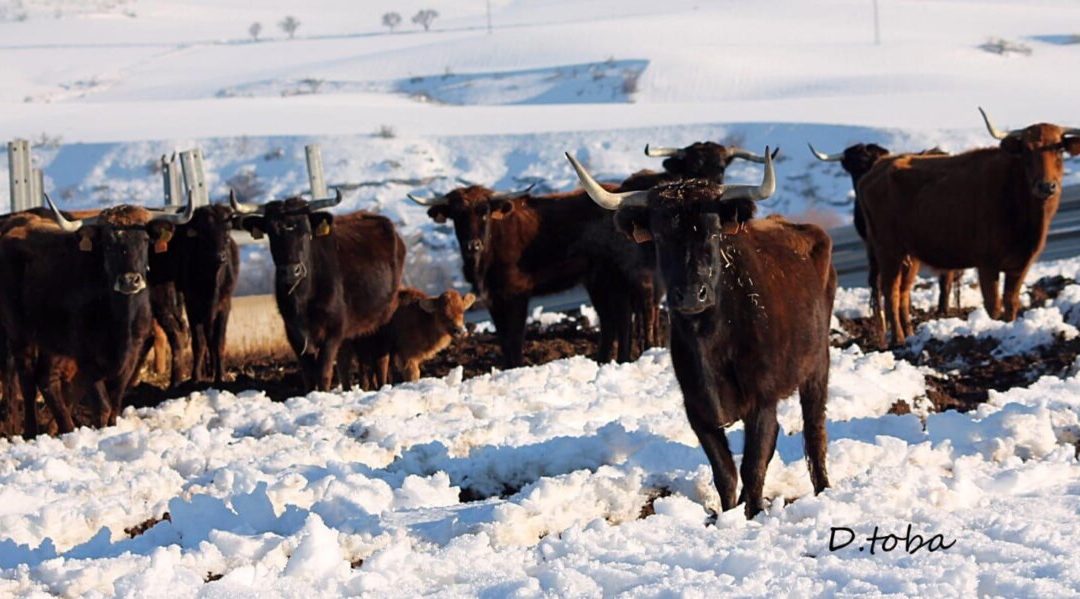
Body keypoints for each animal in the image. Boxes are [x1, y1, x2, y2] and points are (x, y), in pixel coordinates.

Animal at [235, 192, 406, 388]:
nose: (291, 271)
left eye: (306, 231)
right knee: (350, 362)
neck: (302, 298)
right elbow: (309, 374)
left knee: (380, 360)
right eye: (271, 233)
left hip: (383, 319)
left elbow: (323, 372)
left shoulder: (332, 331)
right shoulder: (294, 334)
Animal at [412, 185, 648, 366]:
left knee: (623, 318)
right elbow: (504, 339)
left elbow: (515, 339)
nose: (473, 245)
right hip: (596, 281)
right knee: (609, 321)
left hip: (615, 277)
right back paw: (601, 362)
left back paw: (622, 360)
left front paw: (516, 366)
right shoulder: (494, 299)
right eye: (457, 216)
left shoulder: (516, 294)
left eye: (484, 212)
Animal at [565, 147, 833, 518]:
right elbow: (725, 472)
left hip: (817, 367)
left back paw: (823, 488)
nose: (692, 295)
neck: (711, 341)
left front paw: (752, 515)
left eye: (714, 231)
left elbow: (753, 467)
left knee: (814, 432)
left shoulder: (762, 402)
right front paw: (729, 514)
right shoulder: (697, 410)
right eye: (660, 235)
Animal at [855, 108, 1075, 347]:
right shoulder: (987, 263)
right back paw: (899, 339)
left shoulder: (1021, 264)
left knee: (903, 292)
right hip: (888, 250)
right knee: (891, 291)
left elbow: (1011, 303)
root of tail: (878, 167)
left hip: (909, 255)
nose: (1046, 186)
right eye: (1026, 150)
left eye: (1059, 148)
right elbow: (994, 307)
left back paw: (911, 335)